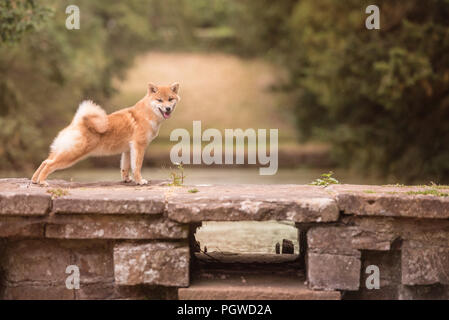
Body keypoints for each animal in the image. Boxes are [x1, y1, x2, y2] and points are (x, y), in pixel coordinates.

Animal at [31, 82, 180, 186]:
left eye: (170, 99)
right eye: (159, 100)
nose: (167, 108)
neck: (147, 113)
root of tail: (78, 122)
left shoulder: (128, 149)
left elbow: (125, 167)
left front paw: (127, 180)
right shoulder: (139, 146)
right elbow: (136, 166)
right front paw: (140, 181)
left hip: (63, 151)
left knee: (45, 161)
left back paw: (34, 180)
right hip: (71, 155)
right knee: (49, 164)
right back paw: (42, 181)